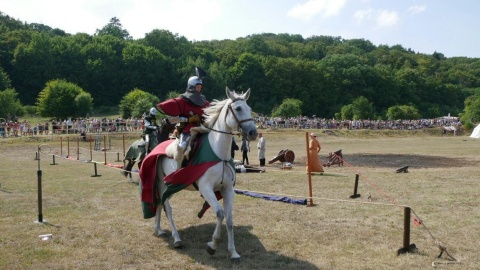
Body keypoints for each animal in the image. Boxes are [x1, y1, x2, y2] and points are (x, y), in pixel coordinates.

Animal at [152, 87, 256, 260]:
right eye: (238, 108)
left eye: (249, 108)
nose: (253, 132)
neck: (219, 153)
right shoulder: (206, 189)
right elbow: (220, 213)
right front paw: (213, 245)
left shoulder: (227, 189)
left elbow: (229, 219)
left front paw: (233, 252)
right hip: (162, 184)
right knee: (167, 207)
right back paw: (176, 238)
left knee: (160, 203)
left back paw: (158, 229)